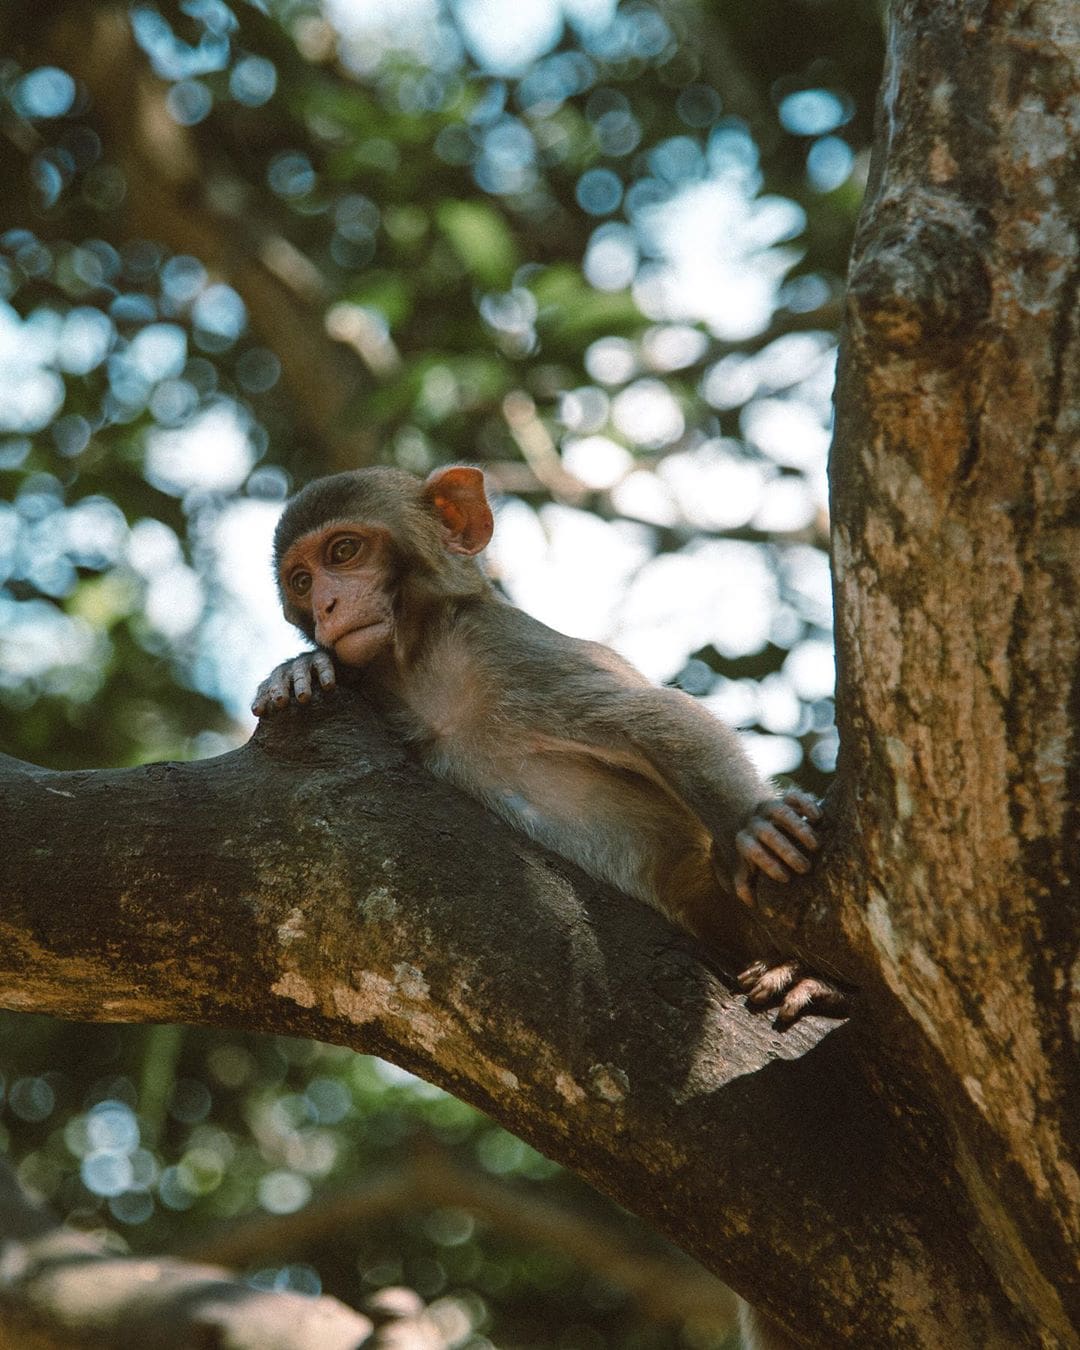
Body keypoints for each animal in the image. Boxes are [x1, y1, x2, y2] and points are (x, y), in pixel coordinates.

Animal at [253, 464, 844, 1029]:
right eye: (301, 581)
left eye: (343, 551)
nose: (327, 604)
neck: (422, 666)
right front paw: (302, 668)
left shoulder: (504, 648)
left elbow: (654, 718)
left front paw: (752, 821)